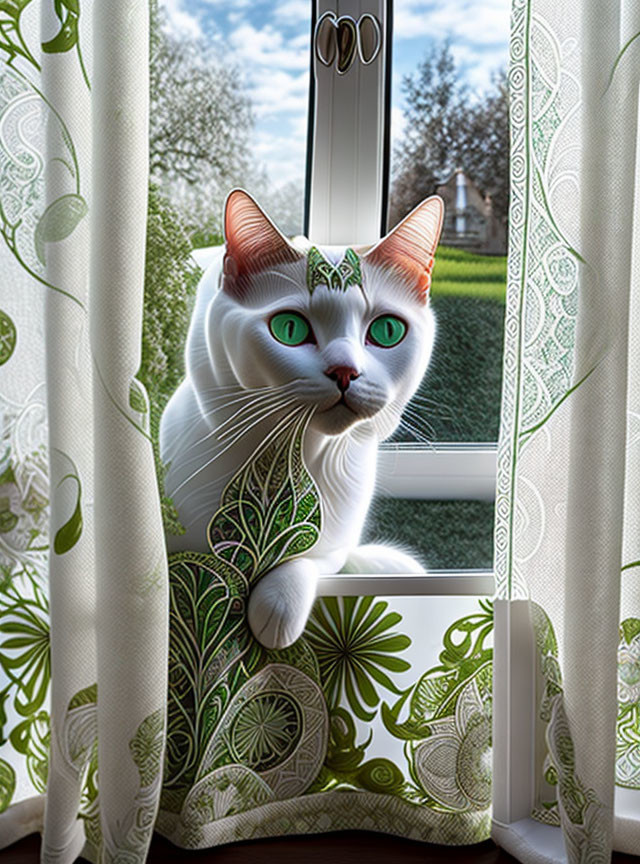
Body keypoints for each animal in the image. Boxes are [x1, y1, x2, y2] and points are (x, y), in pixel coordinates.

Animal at [160, 189, 442, 648]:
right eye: (289, 328)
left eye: (386, 331)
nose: (345, 372)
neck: (284, 466)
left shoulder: (332, 541)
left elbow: (309, 558)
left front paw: (277, 607)